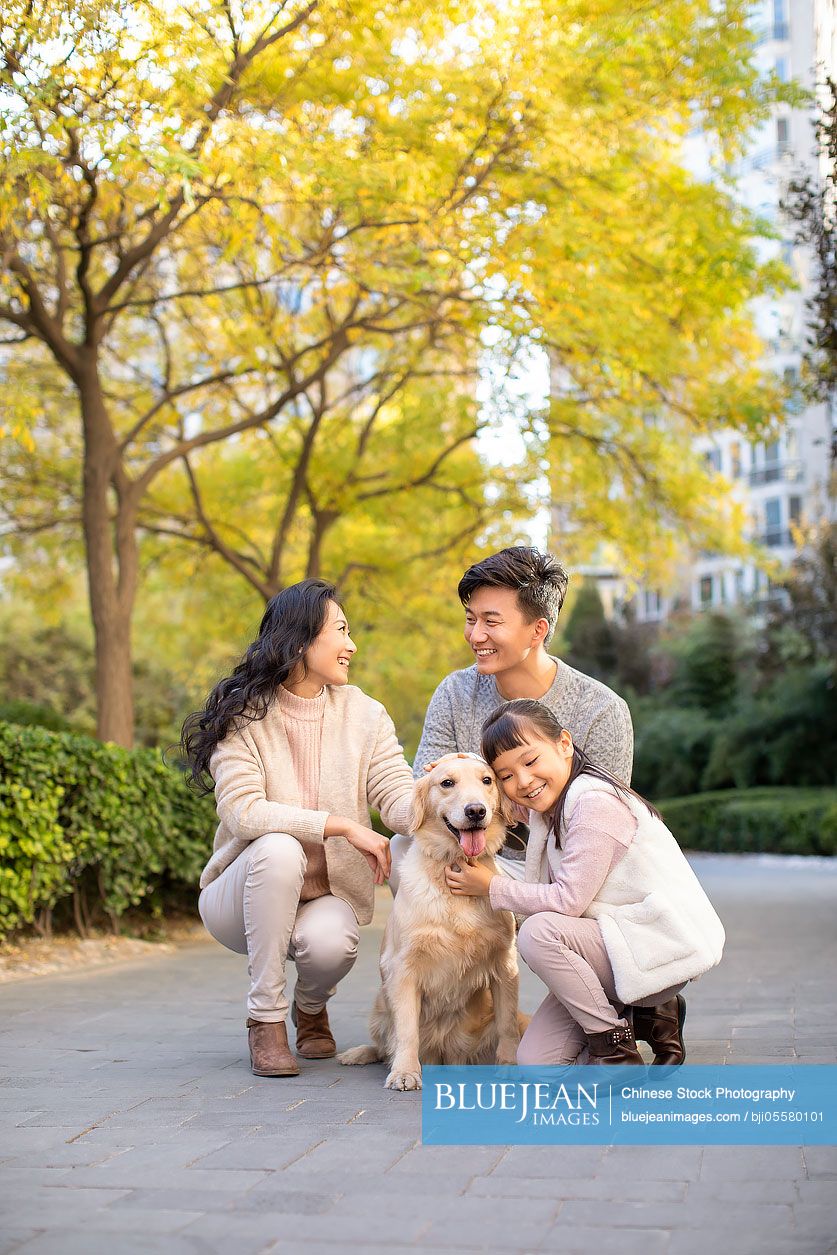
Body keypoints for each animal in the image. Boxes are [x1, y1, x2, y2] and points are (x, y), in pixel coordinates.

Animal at [336, 753, 527, 1089]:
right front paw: (405, 1072)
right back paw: (358, 1054)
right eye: (446, 782)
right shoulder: (403, 968)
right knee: (383, 1045)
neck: (454, 865)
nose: (476, 811)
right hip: (379, 1007)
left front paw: (509, 1065)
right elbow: (406, 1030)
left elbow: (506, 1025)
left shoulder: (505, 964)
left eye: (487, 780)